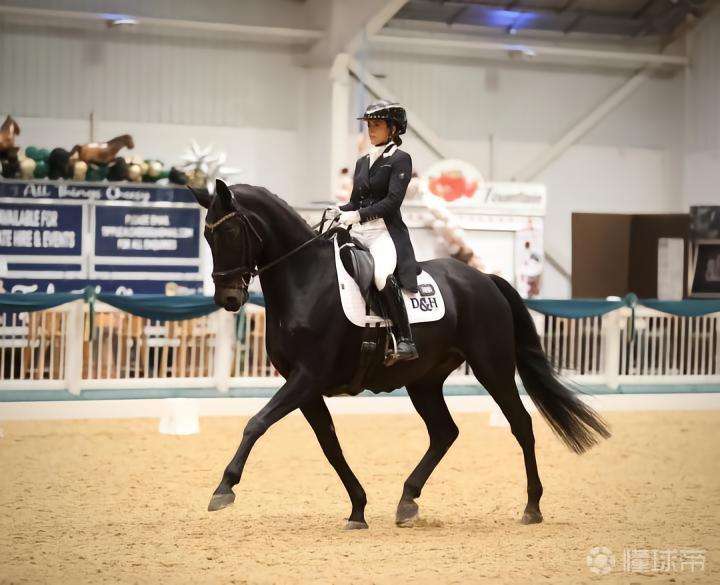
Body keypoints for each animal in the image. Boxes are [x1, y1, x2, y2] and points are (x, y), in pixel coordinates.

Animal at [190, 179, 610, 529]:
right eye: (206, 235)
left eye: (229, 231)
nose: (228, 299)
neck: (305, 280)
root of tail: (484, 279)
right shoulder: (304, 385)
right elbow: (330, 445)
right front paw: (358, 509)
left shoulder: (307, 376)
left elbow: (256, 423)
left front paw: (224, 488)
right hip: (424, 381)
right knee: (444, 432)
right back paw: (407, 501)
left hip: (493, 367)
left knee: (520, 424)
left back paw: (532, 507)